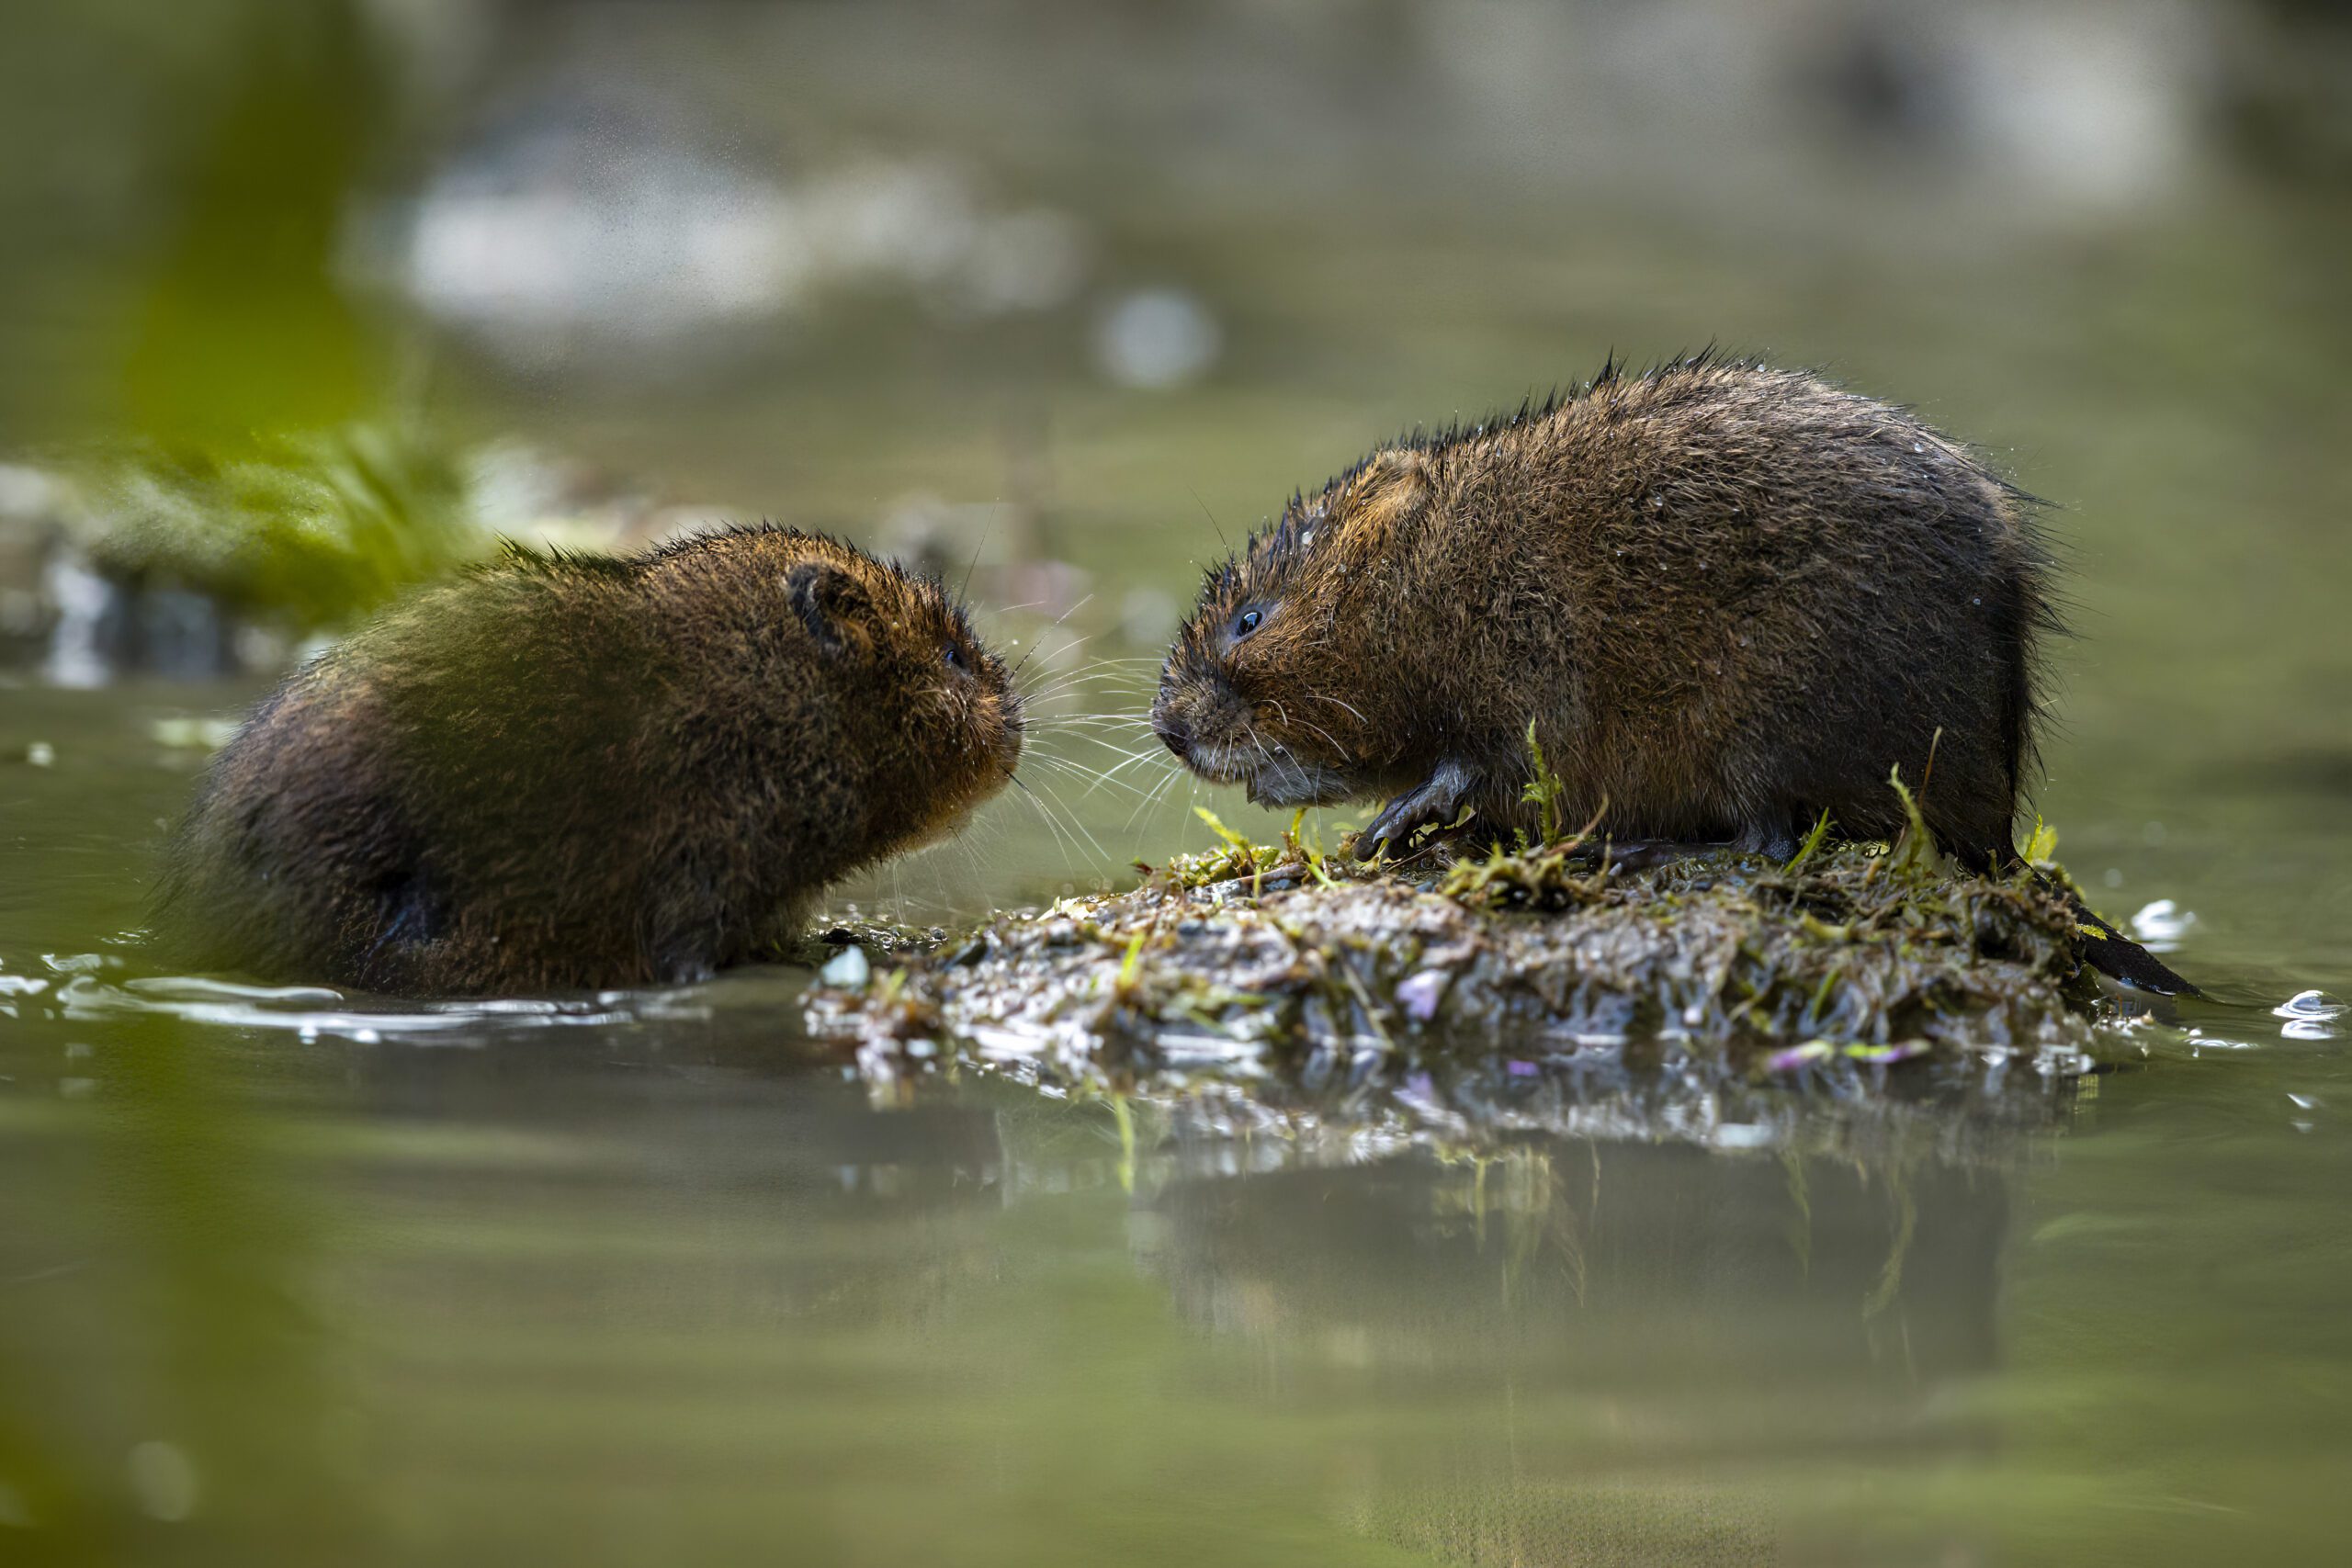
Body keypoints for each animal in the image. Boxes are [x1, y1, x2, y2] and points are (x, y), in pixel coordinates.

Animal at [1153, 355, 2193, 994]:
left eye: (1251, 619)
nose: (1169, 729)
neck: (1444, 569)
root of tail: (1997, 823)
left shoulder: (1528, 659)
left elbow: (1480, 765)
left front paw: (1386, 826)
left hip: (1769, 714)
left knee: (1768, 841)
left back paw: (1629, 851)